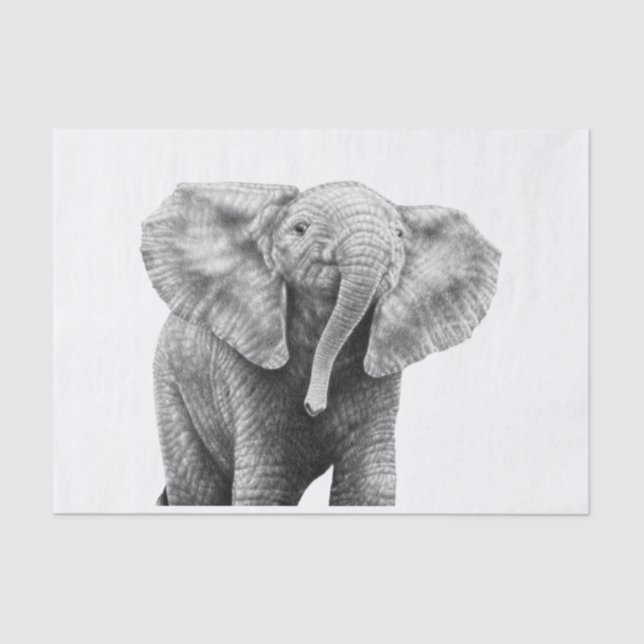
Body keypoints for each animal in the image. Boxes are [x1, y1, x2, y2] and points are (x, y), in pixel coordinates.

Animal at [141, 181, 500, 506]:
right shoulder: (247, 367)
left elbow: (368, 483)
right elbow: (266, 481)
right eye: (300, 228)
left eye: (399, 235)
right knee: (197, 488)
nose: (313, 406)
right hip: (171, 385)